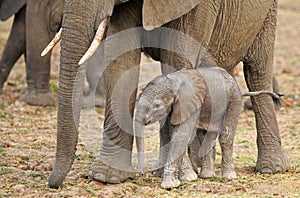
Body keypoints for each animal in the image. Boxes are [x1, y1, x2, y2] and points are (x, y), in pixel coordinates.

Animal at [135, 66, 280, 189]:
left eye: (157, 105)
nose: (140, 174)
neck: (172, 81)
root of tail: (240, 89)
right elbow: (176, 135)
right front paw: (189, 178)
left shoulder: (190, 104)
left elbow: (181, 136)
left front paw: (170, 185)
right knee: (205, 135)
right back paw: (207, 176)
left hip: (233, 100)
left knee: (226, 135)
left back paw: (228, 177)